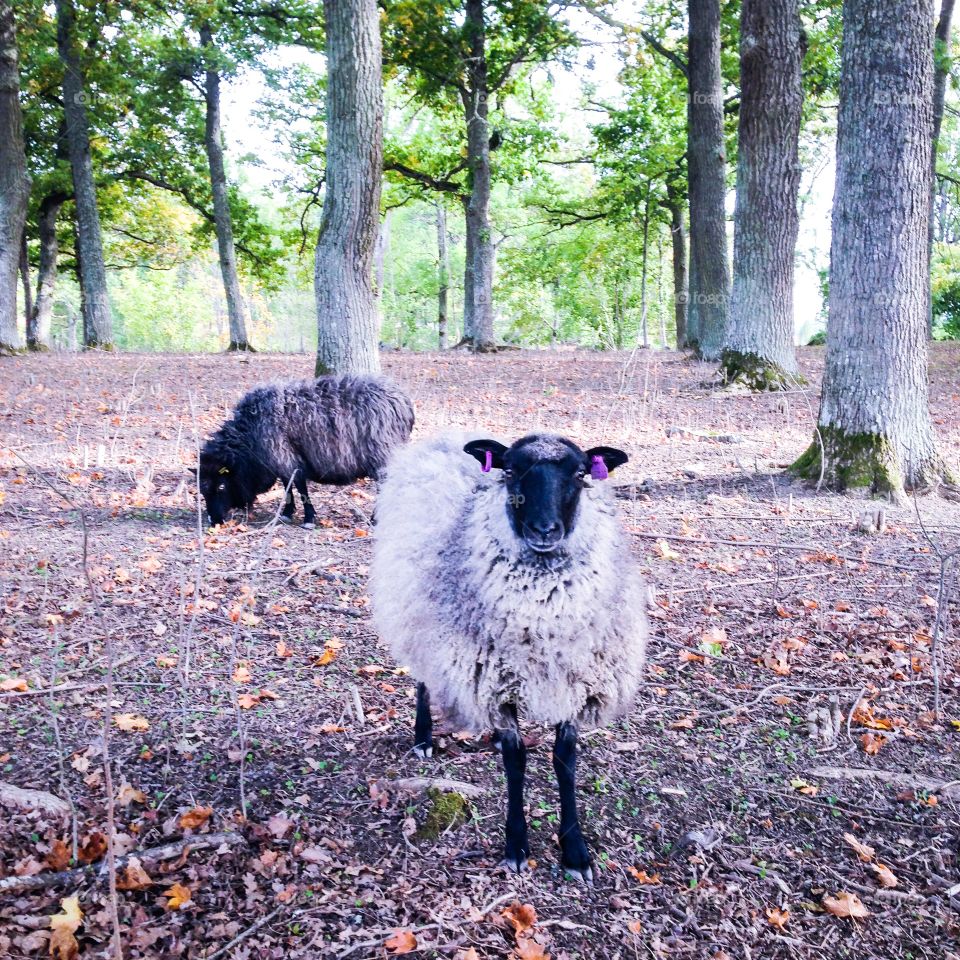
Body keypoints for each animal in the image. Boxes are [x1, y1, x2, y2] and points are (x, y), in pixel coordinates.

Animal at [195, 374, 414, 527]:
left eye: (221, 486)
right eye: (202, 490)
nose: (213, 521)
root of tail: (404, 403)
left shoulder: (284, 456)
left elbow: (299, 487)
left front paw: (308, 518)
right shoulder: (283, 460)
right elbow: (288, 486)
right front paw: (288, 513)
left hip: (383, 453)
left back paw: (376, 518)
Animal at [370, 432, 649, 880]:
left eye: (580, 473)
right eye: (512, 471)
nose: (544, 529)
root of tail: (443, 438)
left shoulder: (573, 680)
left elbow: (565, 761)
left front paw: (575, 852)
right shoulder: (496, 684)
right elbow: (516, 762)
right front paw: (516, 845)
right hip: (418, 611)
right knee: (423, 678)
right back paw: (424, 738)